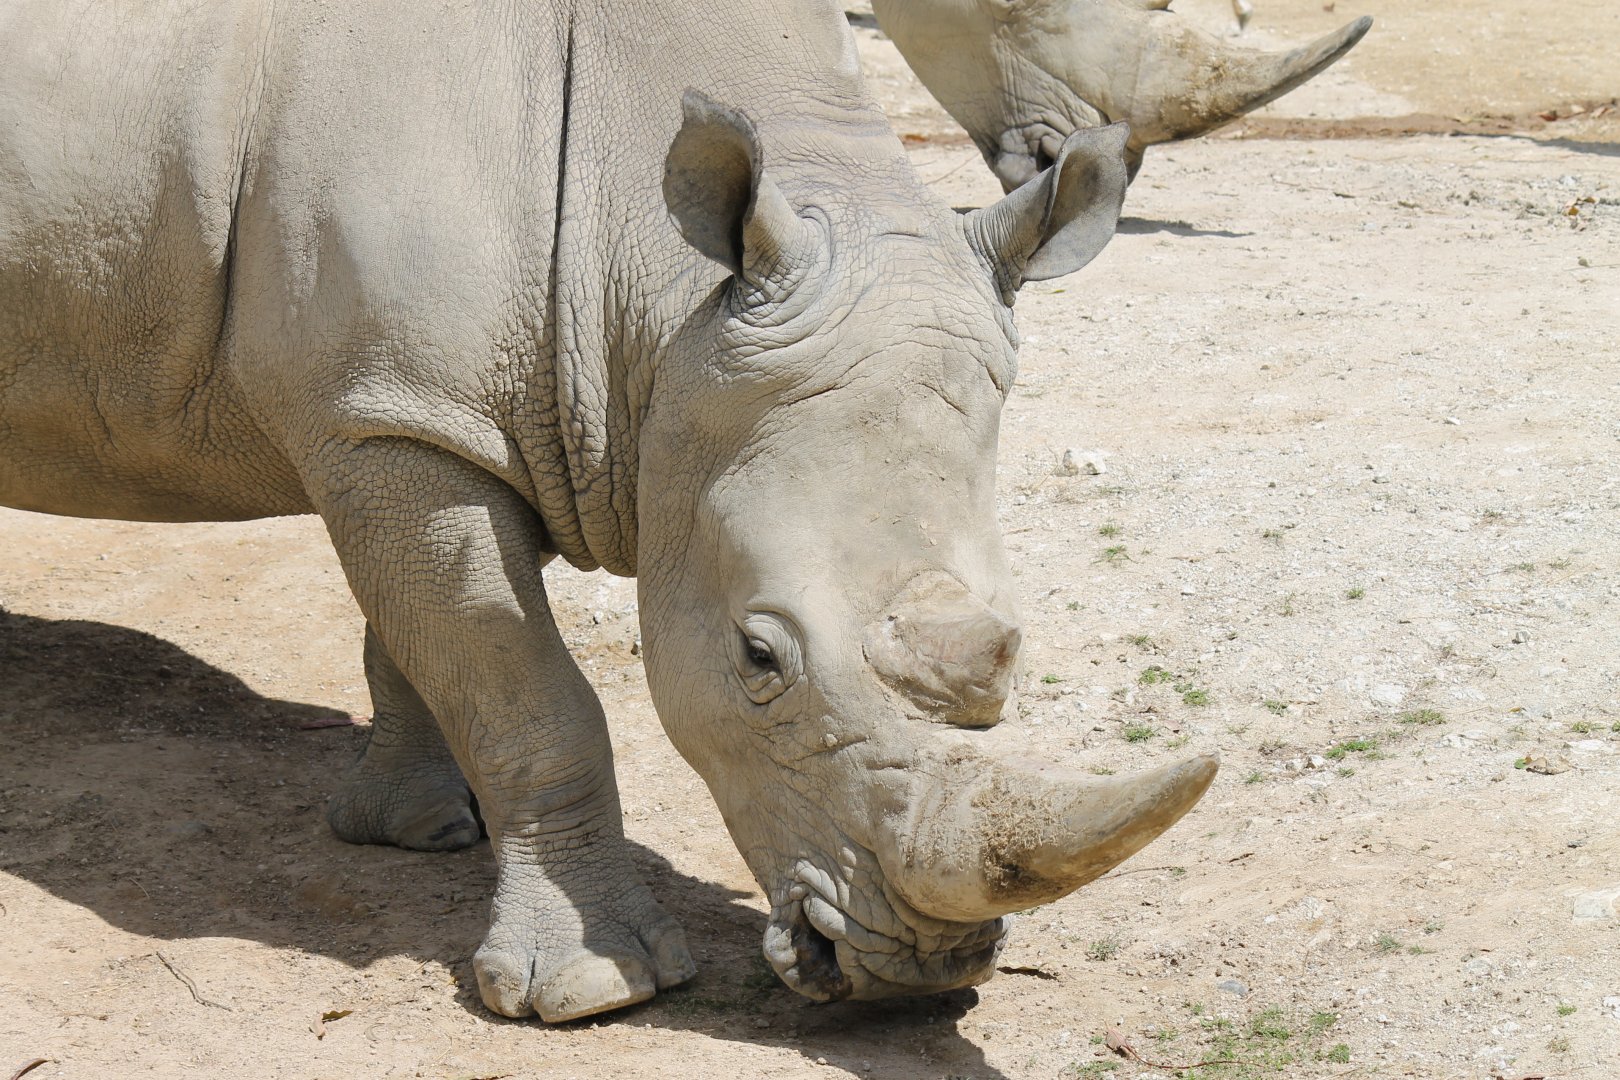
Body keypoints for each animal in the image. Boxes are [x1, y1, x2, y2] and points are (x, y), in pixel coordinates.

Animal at [0, 0, 1217, 1021]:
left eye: (1011, 648)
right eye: (759, 658)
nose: (922, 973)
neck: (663, 308)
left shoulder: (437, 411)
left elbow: (424, 641)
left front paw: (418, 830)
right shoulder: (396, 420)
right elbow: (527, 692)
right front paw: (590, 989)